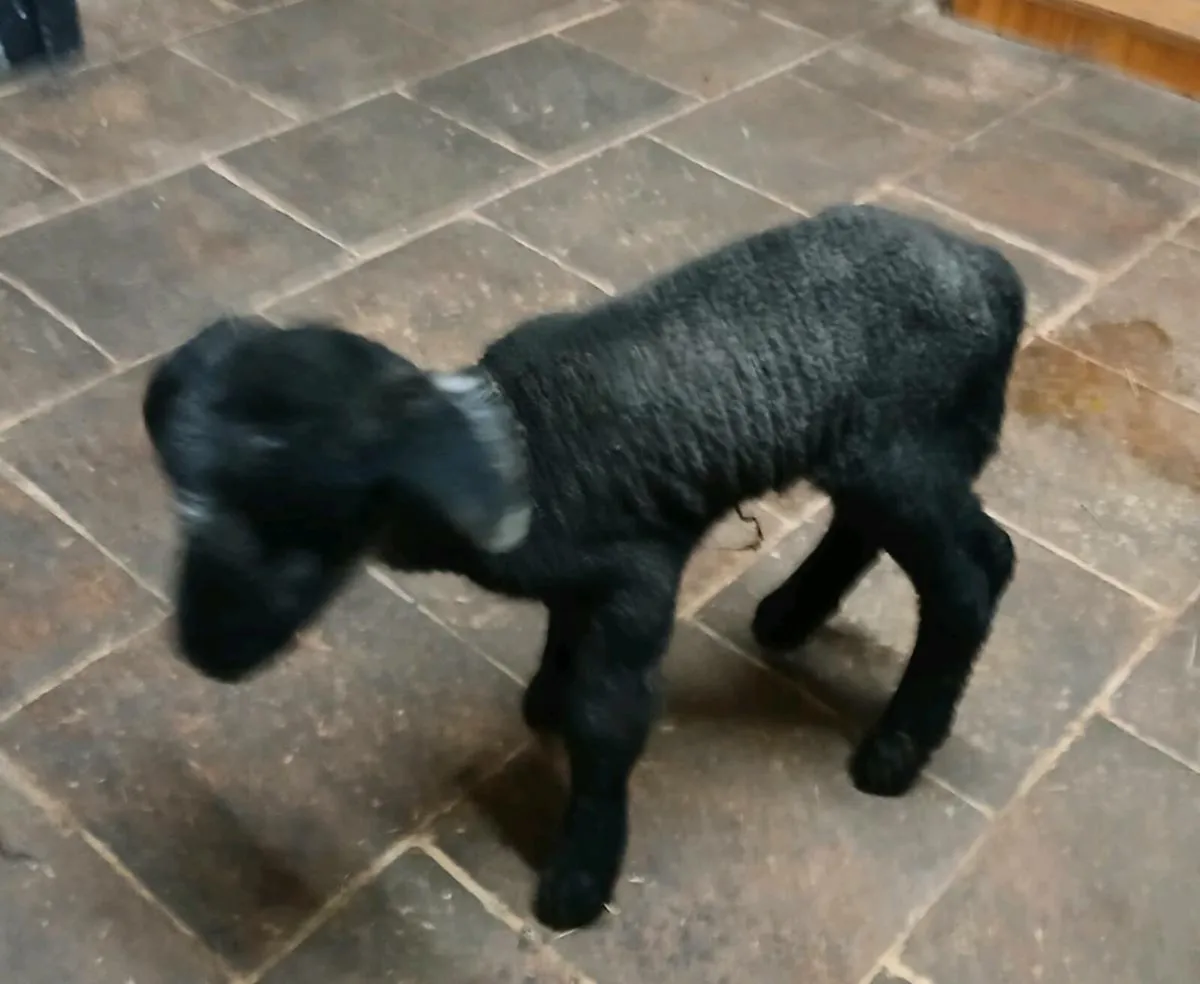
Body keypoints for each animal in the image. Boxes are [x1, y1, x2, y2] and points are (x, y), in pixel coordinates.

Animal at [143, 203, 1024, 932]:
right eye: (188, 505)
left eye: (308, 529)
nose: (202, 652)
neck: (524, 445)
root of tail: (990, 271)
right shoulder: (591, 576)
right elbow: (564, 631)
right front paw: (546, 696)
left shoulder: (641, 575)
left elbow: (610, 716)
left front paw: (579, 879)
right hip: (882, 447)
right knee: (890, 533)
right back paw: (790, 615)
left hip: (904, 444)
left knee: (975, 575)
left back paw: (898, 748)